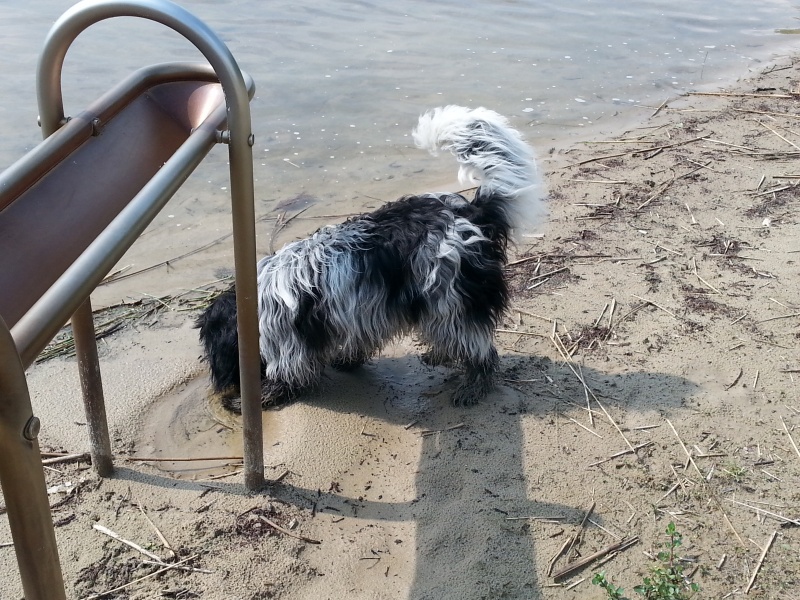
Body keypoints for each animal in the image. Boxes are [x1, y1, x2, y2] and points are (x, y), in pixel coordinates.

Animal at [197, 105, 544, 412]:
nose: (221, 385)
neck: (250, 303)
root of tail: (472, 214)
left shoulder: (288, 343)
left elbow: (287, 374)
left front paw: (259, 398)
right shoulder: (356, 311)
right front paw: (348, 360)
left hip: (451, 300)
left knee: (480, 350)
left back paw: (474, 385)